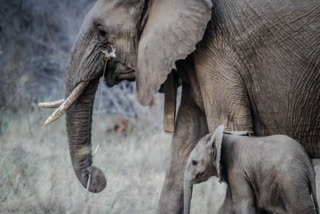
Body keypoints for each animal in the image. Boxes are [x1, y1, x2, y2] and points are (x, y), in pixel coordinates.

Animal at [184, 125, 318, 214]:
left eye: (194, 162)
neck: (220, 136)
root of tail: (307, 160)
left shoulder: (237, 170)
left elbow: (243, 203)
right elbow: (227, 206)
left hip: (292, 181)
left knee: (301, 208)